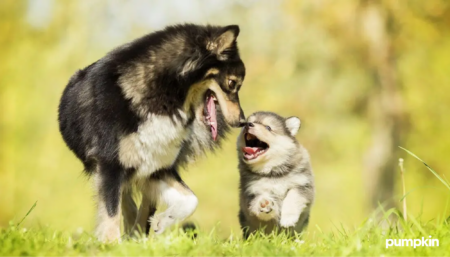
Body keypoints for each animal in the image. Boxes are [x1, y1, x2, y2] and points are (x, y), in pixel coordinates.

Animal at [58, 23, 246, 241]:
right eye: (232, 83)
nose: (242, 121)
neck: (164, 96)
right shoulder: (109, 164)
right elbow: (111, 213)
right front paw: (111, 243)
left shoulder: (157, 166)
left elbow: (191, 199)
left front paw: (162, 222)